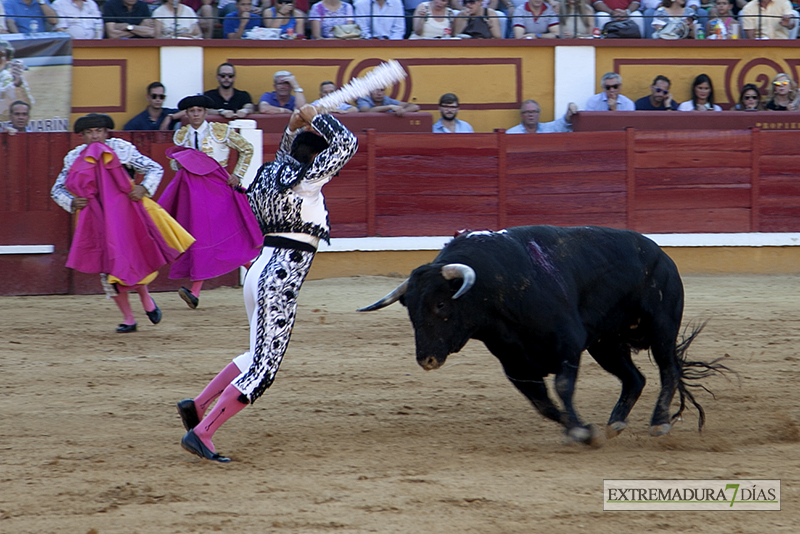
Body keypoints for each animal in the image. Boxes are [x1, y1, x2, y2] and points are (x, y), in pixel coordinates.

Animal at [360, 225, 728, 444]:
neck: (497, 290)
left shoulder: (568, 344)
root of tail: (661, 254)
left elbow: (562, 387)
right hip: (605, 344)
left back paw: (659, 421)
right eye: (410, 311)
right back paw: (615, 423)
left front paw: (580, 430)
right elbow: (543, 404)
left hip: (661, 327)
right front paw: (578, 429)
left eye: (439, 304)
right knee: (635, 378)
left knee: (668, 370)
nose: (427, 359)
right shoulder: (516, 365)